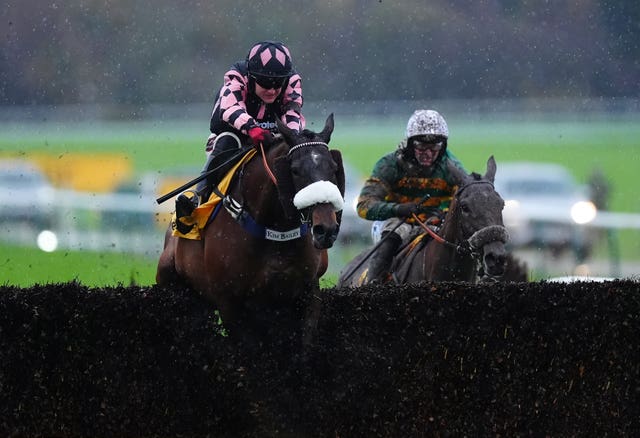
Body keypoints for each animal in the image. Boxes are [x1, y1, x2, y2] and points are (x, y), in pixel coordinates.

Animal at [156, 114, 344, 338]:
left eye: (333, 168)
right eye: (295, 170)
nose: (326, 229)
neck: (276, 231)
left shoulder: (306, 293)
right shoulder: (229, 301)